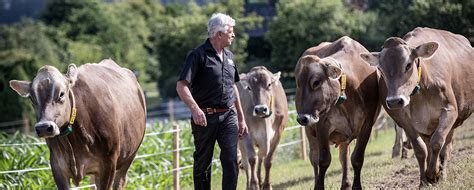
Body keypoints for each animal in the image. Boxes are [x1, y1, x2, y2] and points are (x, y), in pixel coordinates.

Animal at [8, 58, 146, 189]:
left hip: (129, 157)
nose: (43, 127)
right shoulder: (57, 167)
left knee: (120, 182)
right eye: (31, 98)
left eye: (61, 94)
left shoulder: (109, 164)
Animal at [296, 36, 382, 189]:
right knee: (314, 159)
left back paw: (346, 184)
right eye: (298, 84)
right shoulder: (321, 124)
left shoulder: (368, 123)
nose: (302, 118)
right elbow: (323, 160)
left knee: (344, 158)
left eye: (316, 82)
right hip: (310, 132)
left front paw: (356, 186)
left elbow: (357, 158)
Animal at [362, 27, 472, 186]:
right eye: (381, 69)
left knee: (445, 148)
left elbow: (437, 141)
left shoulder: (450, 110)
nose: (395, 101)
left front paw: (433, 174)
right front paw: (424, 181)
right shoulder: (403, 120)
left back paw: (442, 174)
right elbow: (420, 150)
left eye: (408, 65)